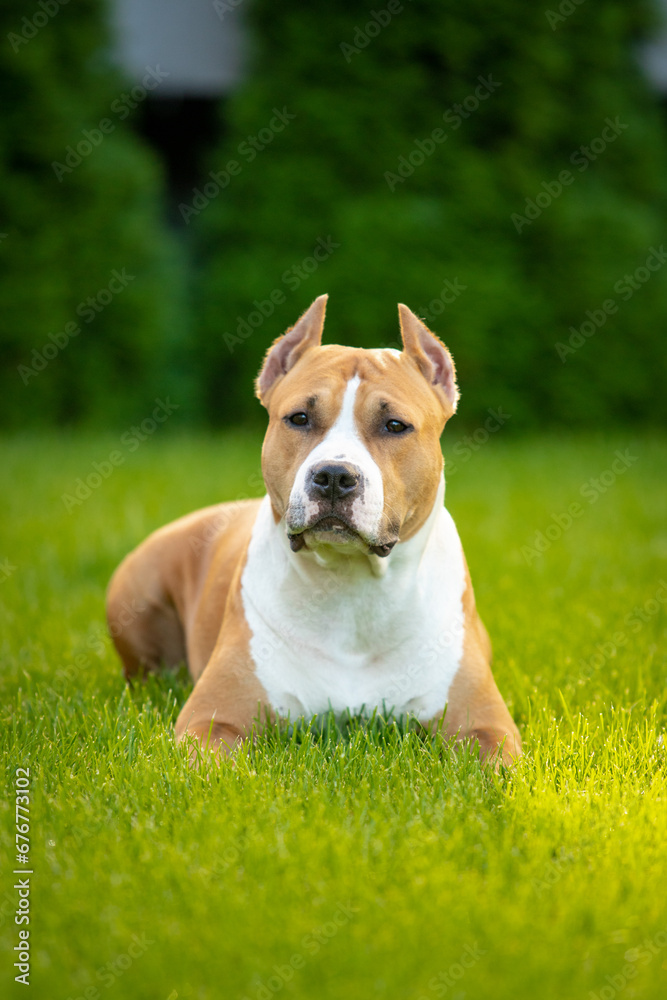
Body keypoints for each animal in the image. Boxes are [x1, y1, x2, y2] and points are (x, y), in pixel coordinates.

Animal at [108, 296, 520, 764]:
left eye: (395, 425)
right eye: (299, 418)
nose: (335, 476)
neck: (351, 587)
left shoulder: (485, 726)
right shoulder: (212, 719)